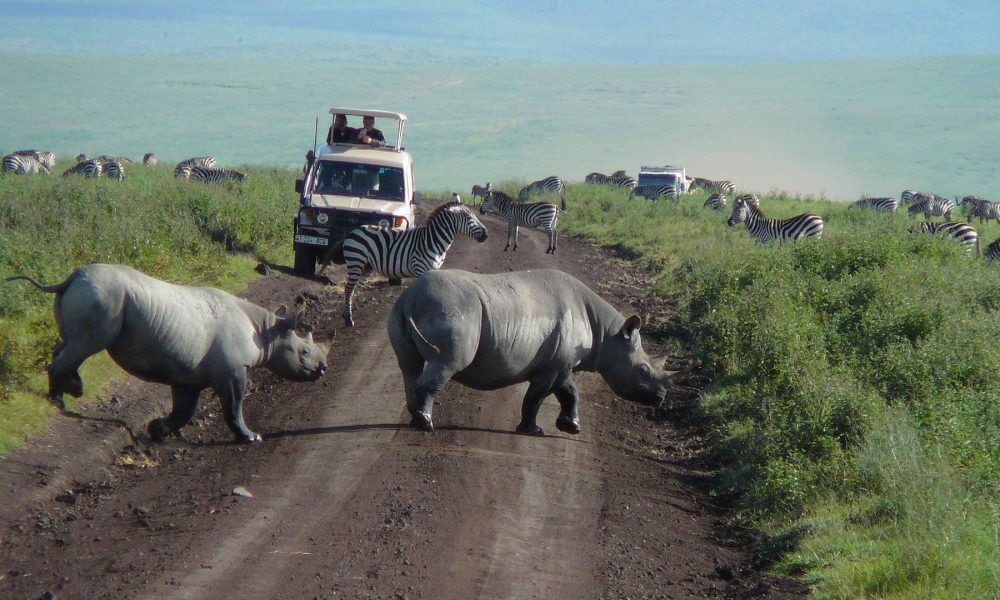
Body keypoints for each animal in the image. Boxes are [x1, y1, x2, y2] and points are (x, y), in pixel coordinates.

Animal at [318, 199, 486, 326]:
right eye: (470, 219)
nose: (486, 234)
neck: (434, 241)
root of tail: (352, 232)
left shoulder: (434, 270)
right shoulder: (421, 269)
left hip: (366, 267)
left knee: (353, 289)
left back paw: (348, 314)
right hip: (356, 262)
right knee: (348, 288)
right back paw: (349, 320)